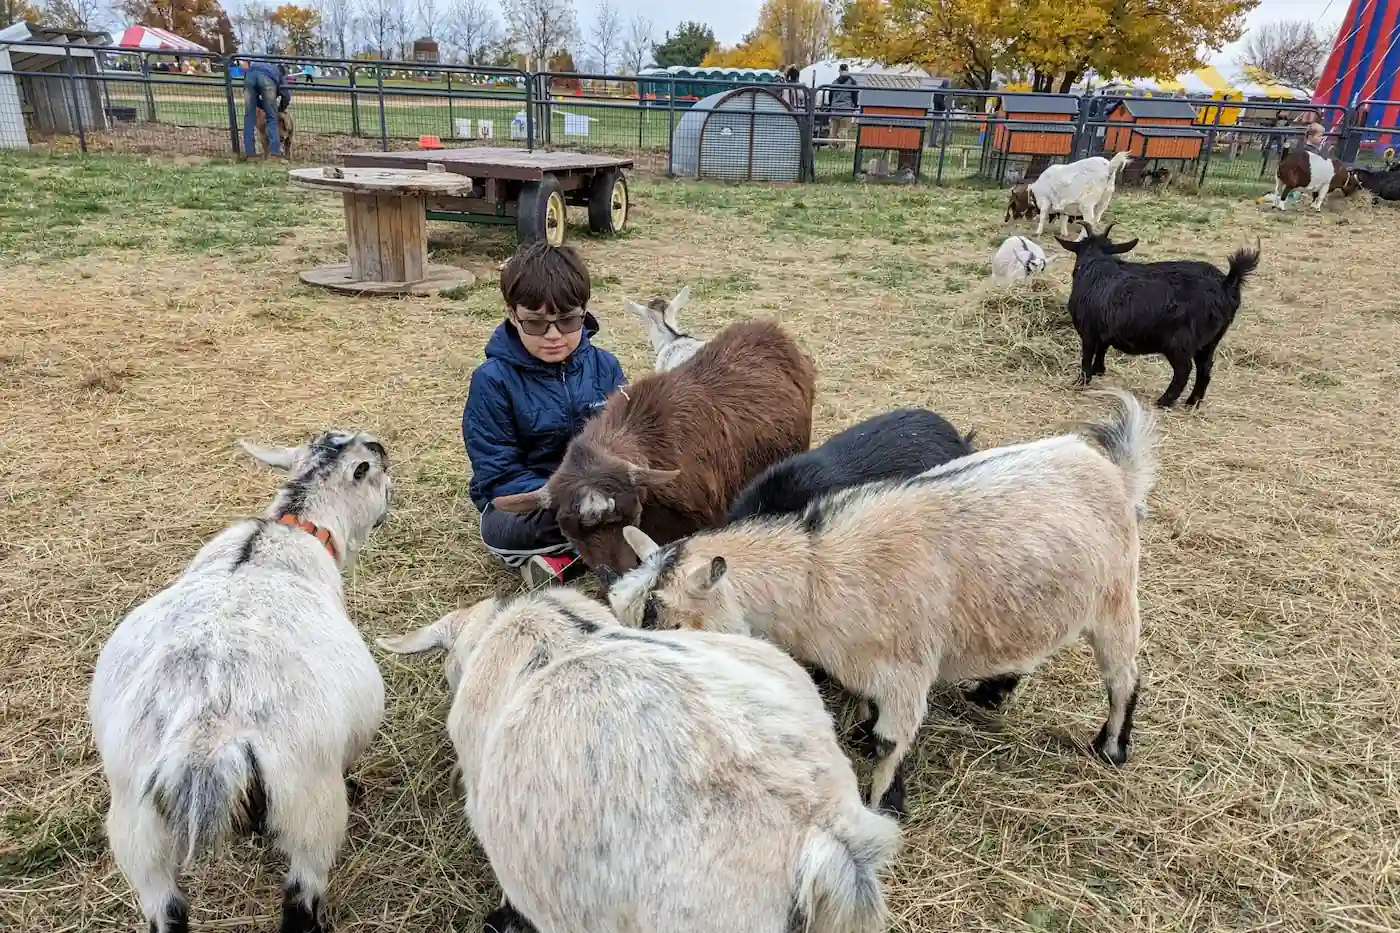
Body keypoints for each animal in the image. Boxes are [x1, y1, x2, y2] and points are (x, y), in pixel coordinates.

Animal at [89, 431, 393, 933]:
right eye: (376, 466)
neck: (291, 529)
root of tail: (205, 734)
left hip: (136, 827)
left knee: (166, 909)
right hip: (310, 804)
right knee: (301, 896)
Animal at [609, 391, 1158, 819]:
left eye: (672, 621)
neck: (816, 569)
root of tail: (1116, 473)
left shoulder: (905, 671)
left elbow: (889, 741)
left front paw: (885, 803)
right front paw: (859, 733)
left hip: (1117, 596)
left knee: (1123, 676)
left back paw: (1111, 748)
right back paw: (991, 692)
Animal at [1056, 223, 1260, 408]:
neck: (1096, 266)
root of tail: (1227, 282)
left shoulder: (1088, 330)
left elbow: (1087, 355)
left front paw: (1081, 381)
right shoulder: (1104, 328)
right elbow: (1102, 349)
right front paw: (1099, 371)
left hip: (1180, 342)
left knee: (1184, 370)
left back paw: (1164, 401)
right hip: (1210, 342)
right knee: (1205, 369)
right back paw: (1192, 402)